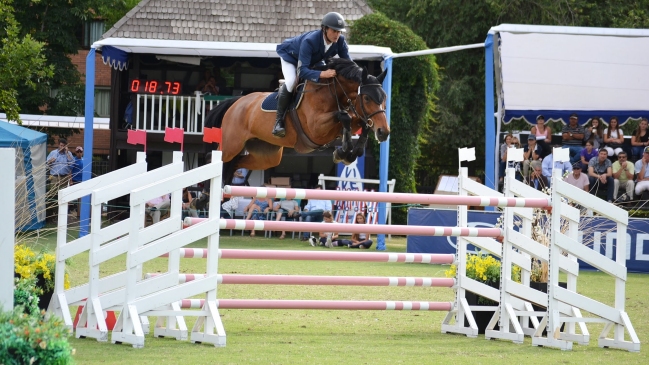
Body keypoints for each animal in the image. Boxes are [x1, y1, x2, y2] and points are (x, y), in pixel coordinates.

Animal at [205, 58, 388, 186]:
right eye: (367, 98)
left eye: (384, 97)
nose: (384, 132)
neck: (331, 91)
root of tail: (236, 102)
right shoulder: (316, 129)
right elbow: (345, 117)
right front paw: (343, 151)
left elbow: (360, 122)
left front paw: (348, 153)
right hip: (231, 145)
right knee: (214, 159)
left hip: (267, 156)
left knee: (236, 164)